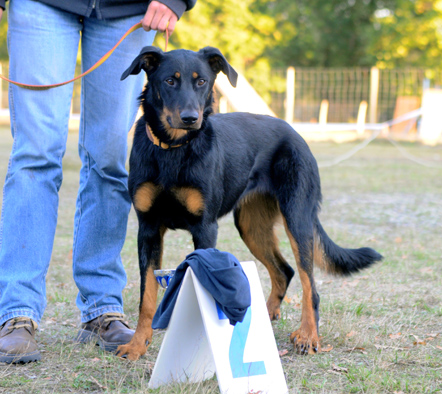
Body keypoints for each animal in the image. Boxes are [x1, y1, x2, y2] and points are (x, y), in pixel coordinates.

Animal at [117, 46, 384, 360]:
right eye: (170, 81)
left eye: (201, 81)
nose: (190, 118)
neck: (174, 149)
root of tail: (295, 134)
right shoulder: (148, 228)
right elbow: (146, 297)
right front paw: (137, 344)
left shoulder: (204, 228)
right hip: (251, 225)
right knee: (284, 271)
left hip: (297, 219)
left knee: (309, 285)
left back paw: (308, 336)